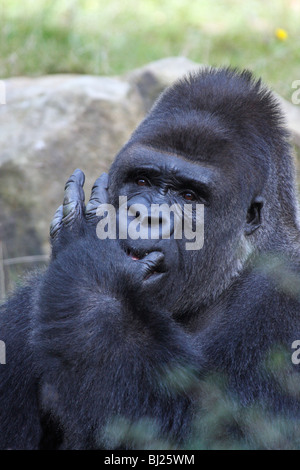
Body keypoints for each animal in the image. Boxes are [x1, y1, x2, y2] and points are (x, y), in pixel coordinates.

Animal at [0, 65, 300, 448]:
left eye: (189, 196)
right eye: (142, 180)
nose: (145, 216)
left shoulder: (287, 297)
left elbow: (228, 430)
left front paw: (94, 266)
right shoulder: (21, 314)